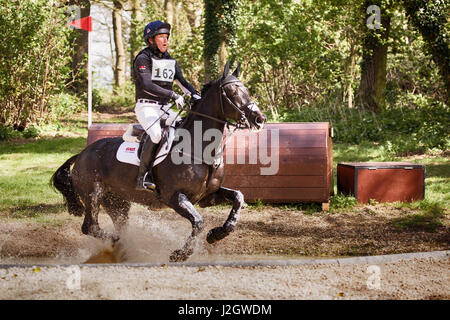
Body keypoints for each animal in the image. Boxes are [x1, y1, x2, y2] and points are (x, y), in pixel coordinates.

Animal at [51, 63, 268, 262]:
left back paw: (123, 250)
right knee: (90, 226)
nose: (260, 119)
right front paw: (180, 254)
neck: (198, 147)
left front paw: (217, 234)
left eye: (246, 90)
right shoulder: (173, 197)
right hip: (93, 194)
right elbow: (198, 222)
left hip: (117, 202)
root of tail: (82, 153)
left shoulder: (207, 197)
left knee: (117, 224)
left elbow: (238, 197)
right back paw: (117, 243)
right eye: (232, 92)